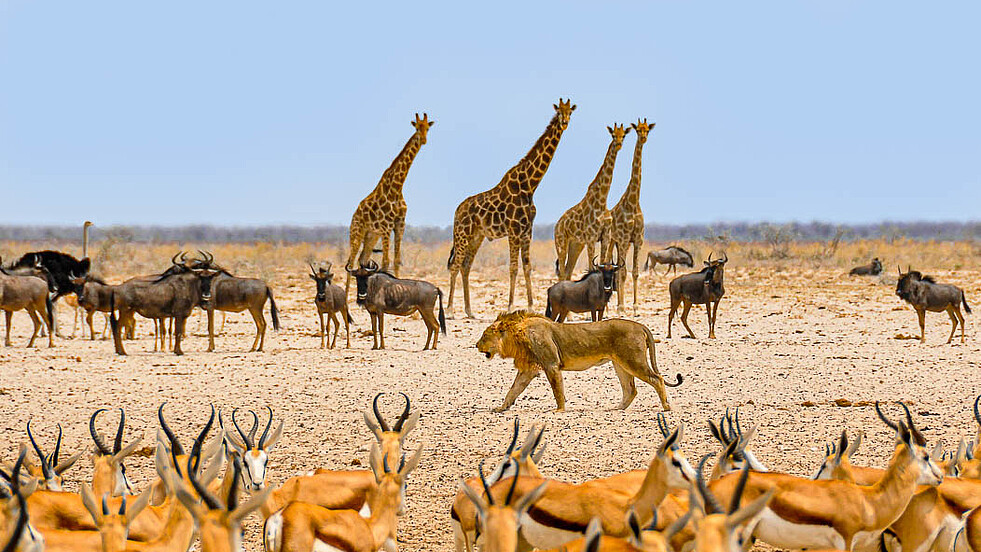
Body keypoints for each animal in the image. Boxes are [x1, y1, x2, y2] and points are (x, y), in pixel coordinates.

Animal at [346, 112, 434, 294]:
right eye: (417, 128)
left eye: (427, 128)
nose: (423, 140)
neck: (397, 187)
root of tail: (354, 215)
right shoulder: (386, 226)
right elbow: (385, 262)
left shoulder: (399, 224)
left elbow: (396, 260)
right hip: (357, 233)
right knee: (350, 262)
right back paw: (345, 299)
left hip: (371, 236)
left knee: (362, 260)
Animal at [446, 97, 576, 316]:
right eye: (559, 111)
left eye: (571, 112)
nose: (565, 122)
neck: (529, 185)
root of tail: (457, 211)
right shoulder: (514, 230)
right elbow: (513, 267)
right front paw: (510, 306)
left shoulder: (527, 231)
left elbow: (527, 267)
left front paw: (531, 306)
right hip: (462, 234)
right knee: (455, 265)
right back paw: (449, 310)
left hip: (476, 236)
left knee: (466, 266)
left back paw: (469, 311)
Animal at [474, 310, 680, 410]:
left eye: (484, 335)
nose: (476, 345)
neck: (517, 334)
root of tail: (640, 325)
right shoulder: (529, 369)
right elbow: (513, 389)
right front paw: (501, 408)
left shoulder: (551, 364)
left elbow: (557, 390)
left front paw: (559, 410)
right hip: (620, 364)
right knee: (630, 389)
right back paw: (617, 408)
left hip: (633, 360)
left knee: (657, 379)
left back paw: (666, 407)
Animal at [552, 123, 628, 282]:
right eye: (613, 135)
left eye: (623, 135)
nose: (618, 144)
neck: (602, 200)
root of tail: (557, 225)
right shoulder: (591, 238)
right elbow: (592, 266)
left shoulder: (605, 236)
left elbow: (603, 263)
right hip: (561, 242)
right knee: (561, 271)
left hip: (576, 244)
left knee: (568, 271)